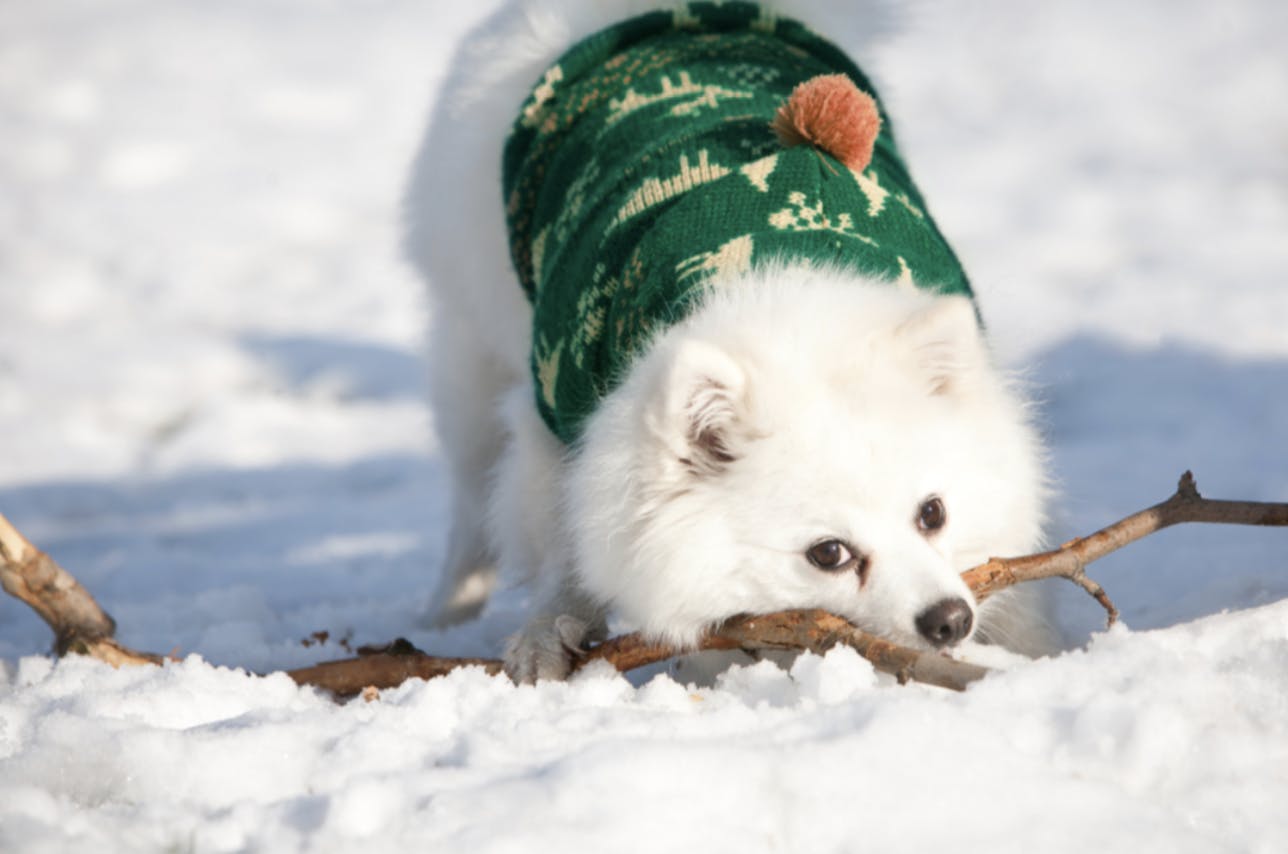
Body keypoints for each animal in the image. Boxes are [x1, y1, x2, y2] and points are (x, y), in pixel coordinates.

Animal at [404, 1, 1056, 680]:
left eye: (933, 513)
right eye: (828, 553)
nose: (949, 618)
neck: (789, 287)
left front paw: (1035, 651)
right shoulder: (558, 414)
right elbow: (567, 540)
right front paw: (547, 633)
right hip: (475, 352)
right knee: (469, 503)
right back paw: (443, 614)